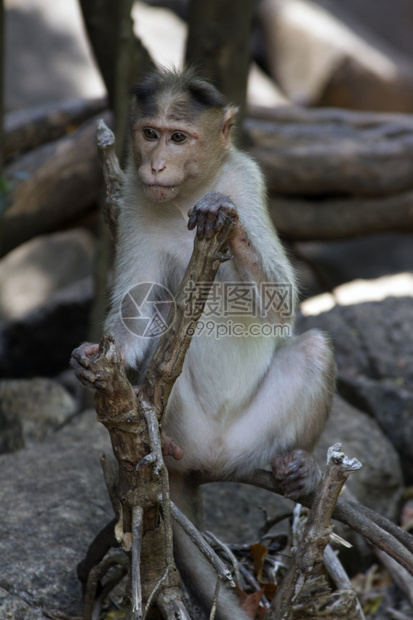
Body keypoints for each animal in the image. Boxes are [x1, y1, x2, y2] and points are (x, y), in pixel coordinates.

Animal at [71, 68, 334, 620]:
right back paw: (156, 428)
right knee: (159, 338)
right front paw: (91, 360)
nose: (156, 163)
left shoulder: (248, 180)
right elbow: (134, 315)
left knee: (314, 349)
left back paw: (298, 466)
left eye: (178, 137)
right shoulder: (132, 201)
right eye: (150, 133)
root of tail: (209, 460)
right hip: (188, 426)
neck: (185, 193)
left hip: (251, 439)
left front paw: (222, 216)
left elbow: (282, 304)